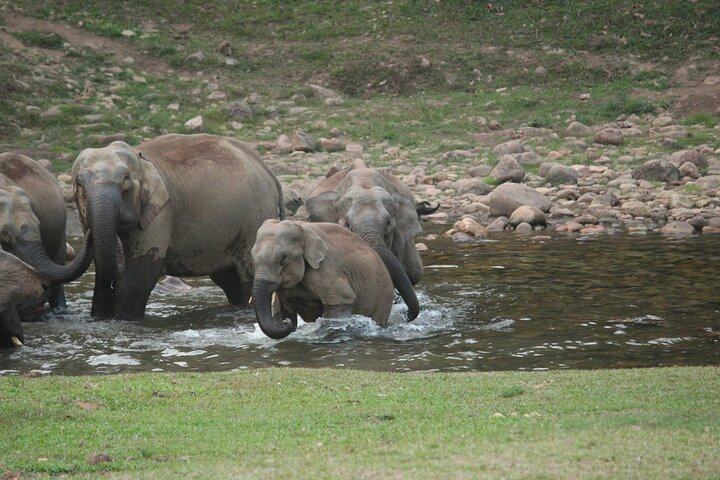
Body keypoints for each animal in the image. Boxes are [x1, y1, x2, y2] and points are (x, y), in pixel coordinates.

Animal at [71, 133, 285, 320]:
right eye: (79, 184)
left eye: (125, 180)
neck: (142, 160)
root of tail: (267, 169)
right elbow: (102, 275)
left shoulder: (161, 214)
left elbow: (136, 278)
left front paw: (123, 319)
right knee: (230, 281)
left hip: (255, 218)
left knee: (247, 277)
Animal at [251, 219, 395, 339]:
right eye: (252, 257)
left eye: (283, 259)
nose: (286, 323)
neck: (301, 227)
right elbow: (283, 309)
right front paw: (287, 320)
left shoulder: (326, 269)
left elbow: (342, 300)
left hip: (383, 296)